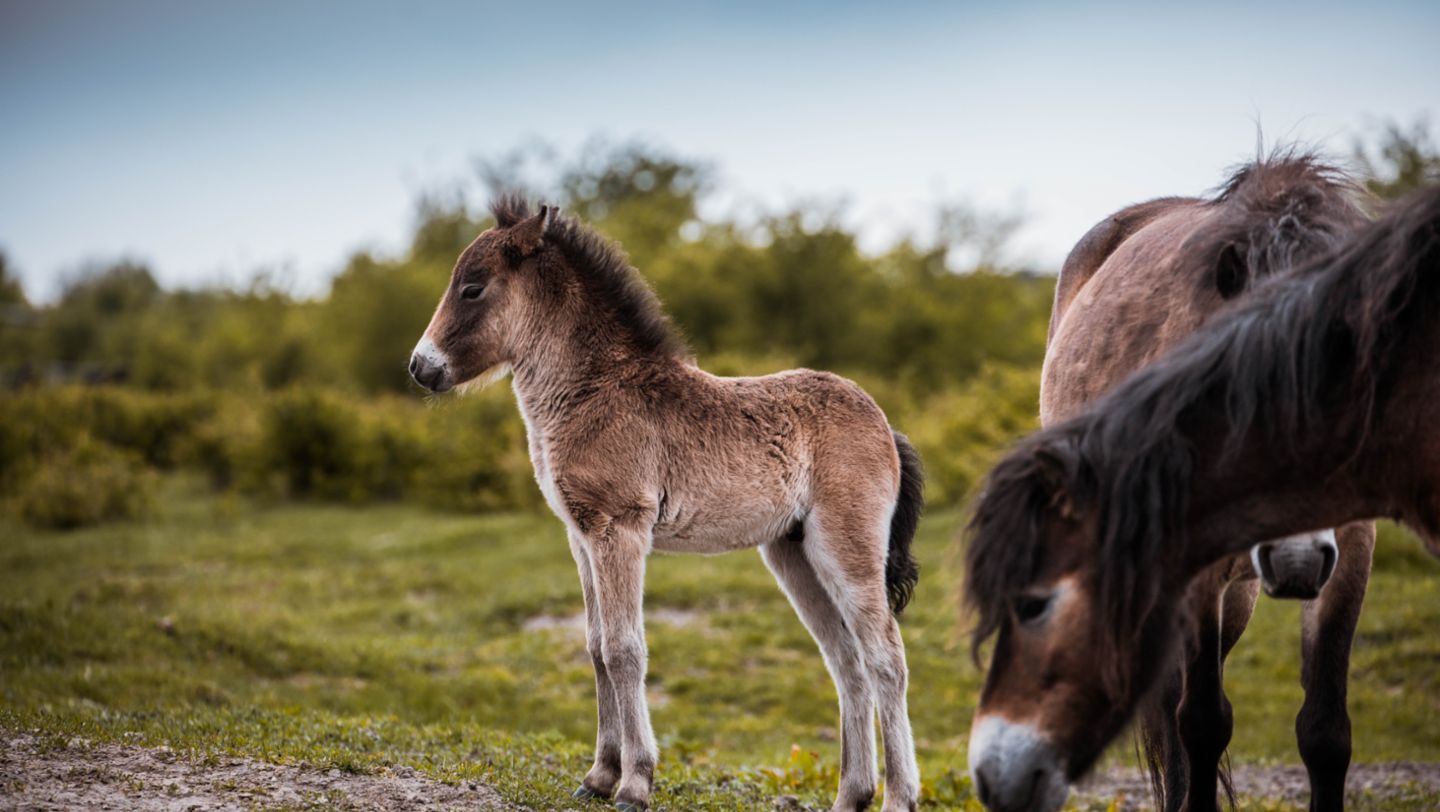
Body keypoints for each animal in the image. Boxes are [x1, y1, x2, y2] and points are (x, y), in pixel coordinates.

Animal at [409, 196, 925, 812]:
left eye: (472, 288)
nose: (420, 366)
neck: (594, 391)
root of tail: (885, 424)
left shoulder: (620, 529)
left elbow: (625, 650)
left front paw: (634, 783)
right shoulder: (580, 536)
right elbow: (595, 647)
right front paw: (598, 776)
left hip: (847, 546)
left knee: (885, 658)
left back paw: (898, 796)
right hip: (793, 554)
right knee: (846, 662)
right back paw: (851, 795)